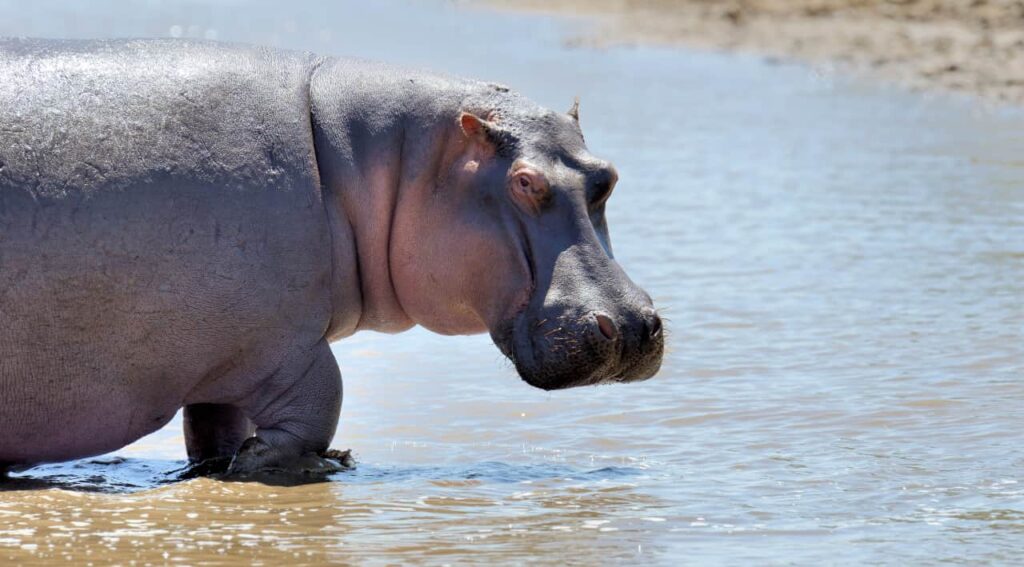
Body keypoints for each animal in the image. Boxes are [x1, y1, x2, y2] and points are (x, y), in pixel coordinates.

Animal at [0, 37, 663, 474]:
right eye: (525, 182)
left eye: (607, 176)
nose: (633, 325)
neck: (373, 159)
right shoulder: (280, 342)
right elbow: (321, 401)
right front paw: (273, 463)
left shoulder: (224, 358)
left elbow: (217, 427)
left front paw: (226, 465)